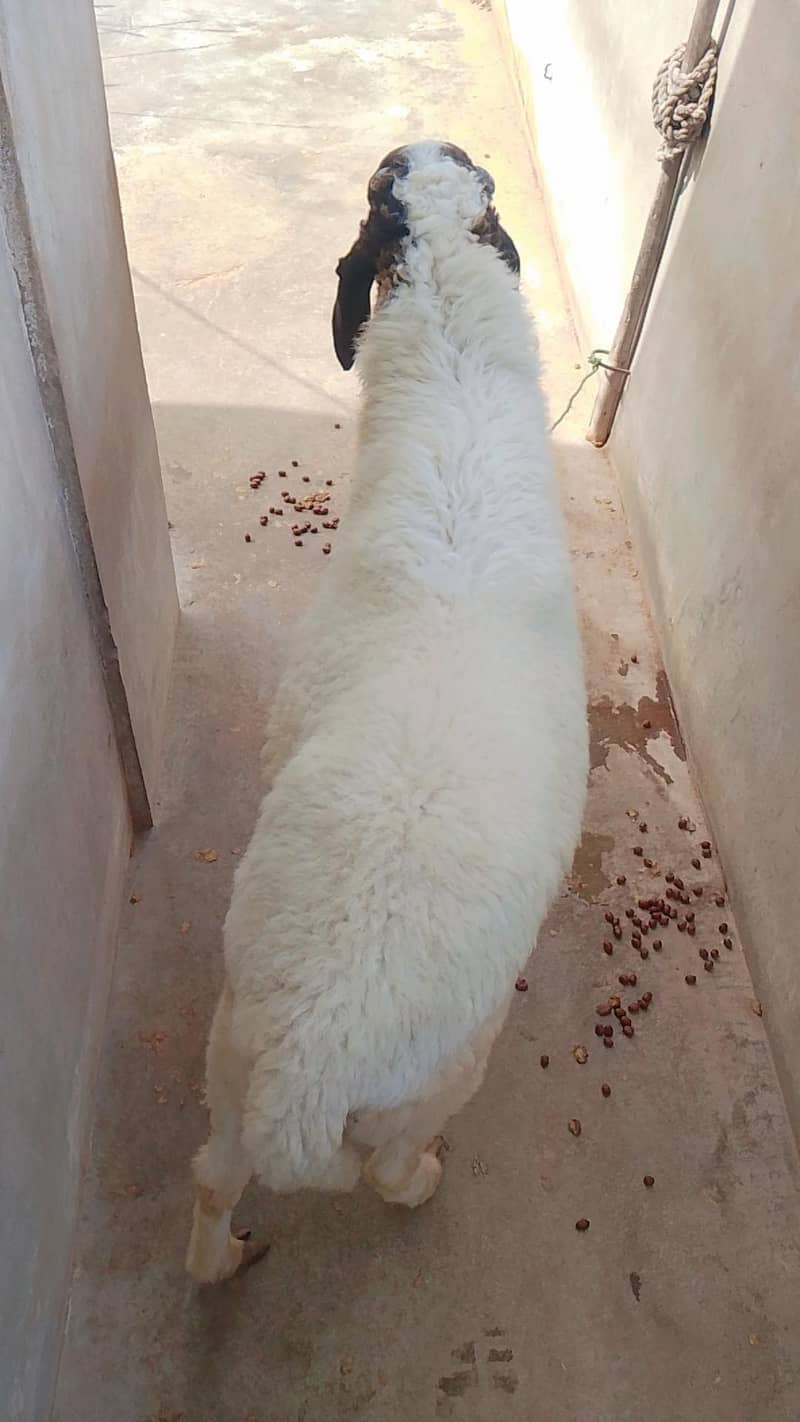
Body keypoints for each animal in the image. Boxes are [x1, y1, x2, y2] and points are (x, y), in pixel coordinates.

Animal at [186, 140, 588, 1283]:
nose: (422, 148)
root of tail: (309, 1075)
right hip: (440, 1077)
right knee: (386, 1167)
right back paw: (423, 1184)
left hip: (230, 1057)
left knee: (210, 1178)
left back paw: (221, 1260)